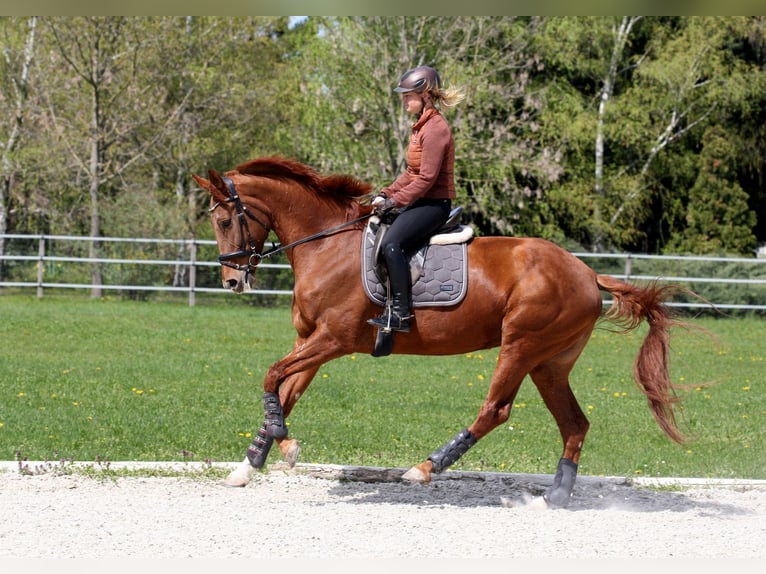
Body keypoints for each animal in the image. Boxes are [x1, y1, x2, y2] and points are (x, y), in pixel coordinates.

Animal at [192, 155, 695, 508]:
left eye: (224, 220)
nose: (233, 281)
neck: (326, 245)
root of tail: (588, 274)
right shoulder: (309, 342)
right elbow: (284, 389)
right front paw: (252, 463)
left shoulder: (332, 340)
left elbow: (271, 375)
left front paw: (286, 447)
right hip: (549, 363)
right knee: (575, 423)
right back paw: (555, 497)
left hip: (521, 345)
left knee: (496, 409)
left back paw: (425, 468)